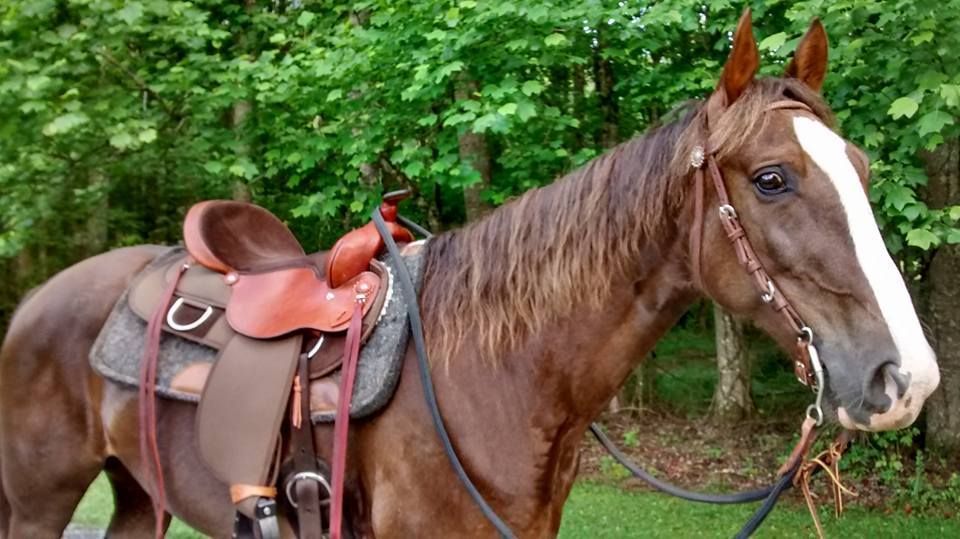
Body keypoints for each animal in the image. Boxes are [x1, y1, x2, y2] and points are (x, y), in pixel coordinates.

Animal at [0, 11, 940, 538]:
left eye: (859, 165)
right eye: (772, 179)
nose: (908, 378)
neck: (497, 377)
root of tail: (40, 297)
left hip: (138, 494)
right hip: (41, 499)